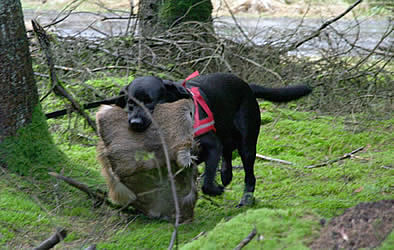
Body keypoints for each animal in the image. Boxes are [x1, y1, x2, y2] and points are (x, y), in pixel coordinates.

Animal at [117, 73, 310, 206]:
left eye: (150, 102)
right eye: (130, 103)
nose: (134, 123)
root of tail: (246, 85)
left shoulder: (212, 146)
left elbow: (207, 182)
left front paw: (216, 190)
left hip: (247, 142)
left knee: (249, 174)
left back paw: (246, 198)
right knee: (227, 152)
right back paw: (226, 174)